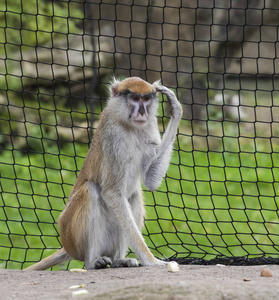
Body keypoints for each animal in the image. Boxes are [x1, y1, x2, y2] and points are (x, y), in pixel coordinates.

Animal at [25, 77, 184, 270]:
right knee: (91, 191)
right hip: (72, 233)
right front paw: (151, 260)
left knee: (133, 196)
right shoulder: (114, 138)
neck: (128, 125)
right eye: (134, 98)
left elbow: (150, 181)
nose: (142, 113)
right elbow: (111, 193)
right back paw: (92, 262)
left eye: (146, 99)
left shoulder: (150, 127)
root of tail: (66, 245)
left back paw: (118, 260)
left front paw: (175, 107)